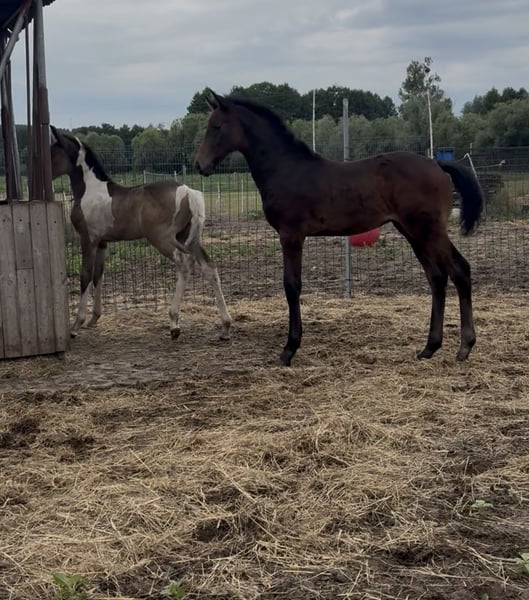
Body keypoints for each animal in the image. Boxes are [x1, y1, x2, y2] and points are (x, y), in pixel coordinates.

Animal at [50, 126, 232, 341]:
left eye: (53, 152)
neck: (90, 190)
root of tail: (188, 192)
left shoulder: (89, 240)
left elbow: (85, 276)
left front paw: (76, 325)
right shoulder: (102, 242)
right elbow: (98, 275)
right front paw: (94, 318)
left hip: (162, 239)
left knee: (184, 263)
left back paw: (174, 324)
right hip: (189, 239)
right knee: (209, 267)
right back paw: (225, 327)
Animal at [195, 91, 484, 367]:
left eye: (217, 126)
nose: (200, 165)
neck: (287, 169)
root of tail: (437, 164)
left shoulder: (291, 235)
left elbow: (292, 285)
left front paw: (289, 350)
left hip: (429, 230)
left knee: (459, 270)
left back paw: (465, 346)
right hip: (412, 232)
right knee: (436, 277)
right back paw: (429, 347)